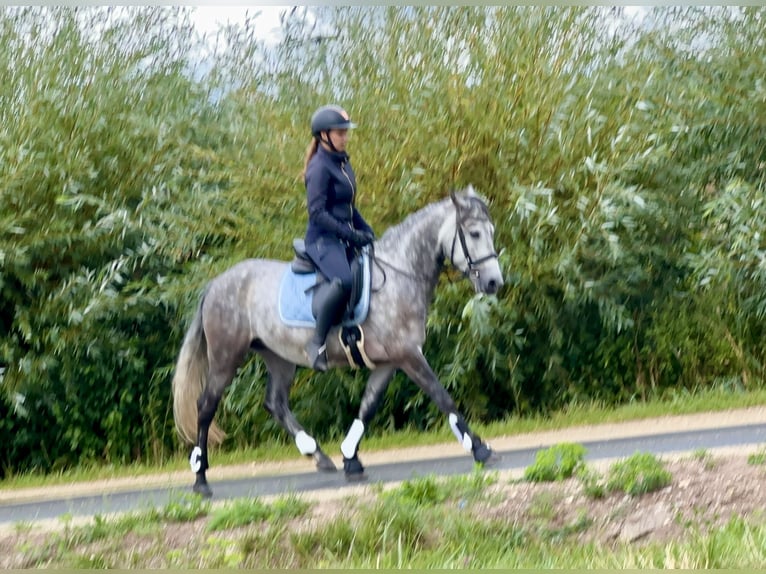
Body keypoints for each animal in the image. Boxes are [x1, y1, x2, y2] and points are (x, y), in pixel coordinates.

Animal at [172, 186, 508, 500]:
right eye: (474, 233)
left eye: (492, 231)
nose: (494, 282)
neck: (401, 274)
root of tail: (216, 283)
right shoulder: (408, 355)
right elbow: (442, 396)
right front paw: (480, 449)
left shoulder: (390, 361)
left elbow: (367, 407)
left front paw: (351, 459)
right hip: (226, 357)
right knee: (206, 406)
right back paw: (200, 478)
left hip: (280, 357)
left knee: (275, 402)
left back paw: (318, 455)